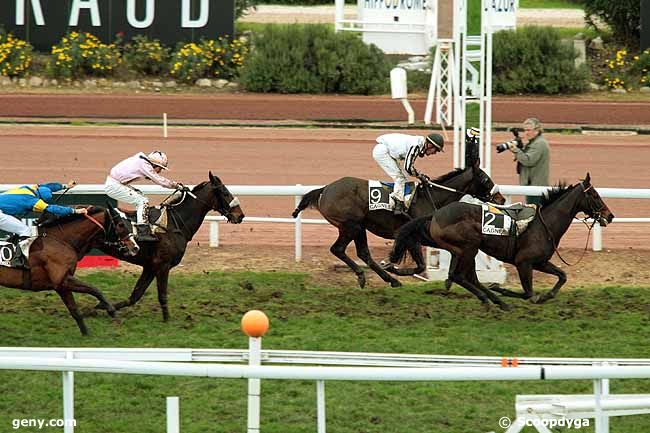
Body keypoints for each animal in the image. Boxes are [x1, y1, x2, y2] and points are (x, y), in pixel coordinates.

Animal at [2, 206, 137, 334]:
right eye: (120, 224)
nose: (135, 247)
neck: (61, 240)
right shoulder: (61, 280)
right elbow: (95, 290)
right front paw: (111, 311)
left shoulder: (62, 284)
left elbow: (75, 310)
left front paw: (87, 335)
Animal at [97, 172, 244, 320]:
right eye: (225, 193)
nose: (240, 215)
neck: (175, 223)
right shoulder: (163, 264)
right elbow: (162, 295)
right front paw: (167, 320)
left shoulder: (150, 266)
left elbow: (135, 296)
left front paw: (103, 307)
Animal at [292, 161, 504, 286]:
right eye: (486, 179)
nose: (500, 198)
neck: (432, 197)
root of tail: (325, 189)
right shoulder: (412, 237)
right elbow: (420, 265)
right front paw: (393, 266)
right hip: (350, 226)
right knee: (338, 249)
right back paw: (366, 275)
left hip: (359, 227)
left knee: (363, 253)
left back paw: (389, 280)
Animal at [384, 174, 612, 308]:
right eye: (594, 194)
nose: (609, 216)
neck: (545, 223)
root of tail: (435, 214)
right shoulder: (524, 262)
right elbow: (528, 293)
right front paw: (500, 288)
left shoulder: (540, 262)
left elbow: (562, 276)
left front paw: (547, 296)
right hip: (469, 247)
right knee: (460, 276)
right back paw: (494, 299)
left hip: (462, 250)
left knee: (462, 276)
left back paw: (492, 299)